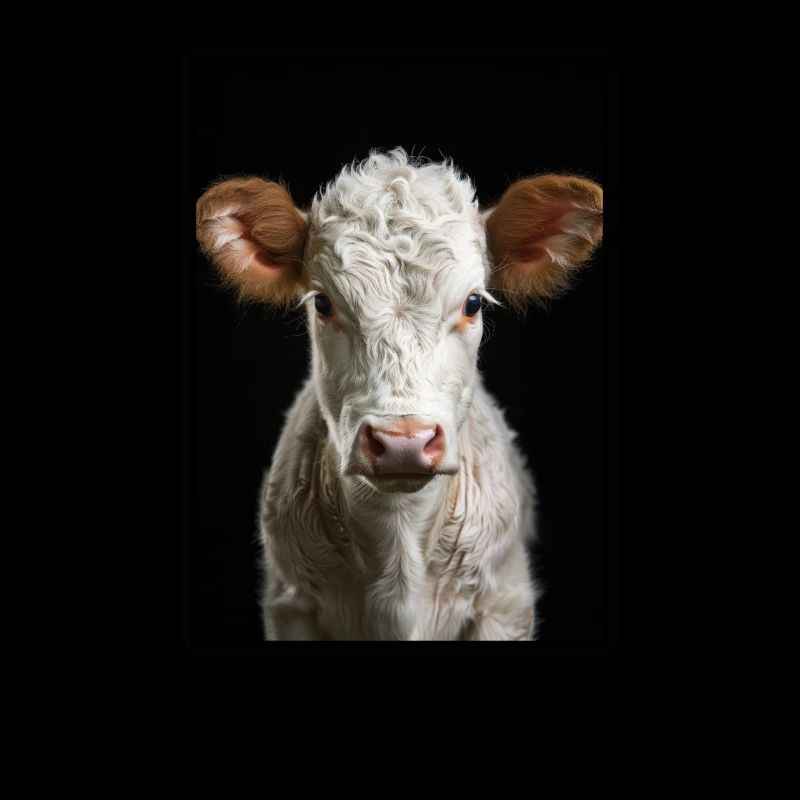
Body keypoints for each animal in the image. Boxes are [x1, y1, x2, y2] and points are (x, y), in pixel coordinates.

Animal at [196, 148, 602, 640]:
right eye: (323, 303)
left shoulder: (506, 604)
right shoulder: (289, 605)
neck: (398, 535)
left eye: (473, 302)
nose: (403, 442)